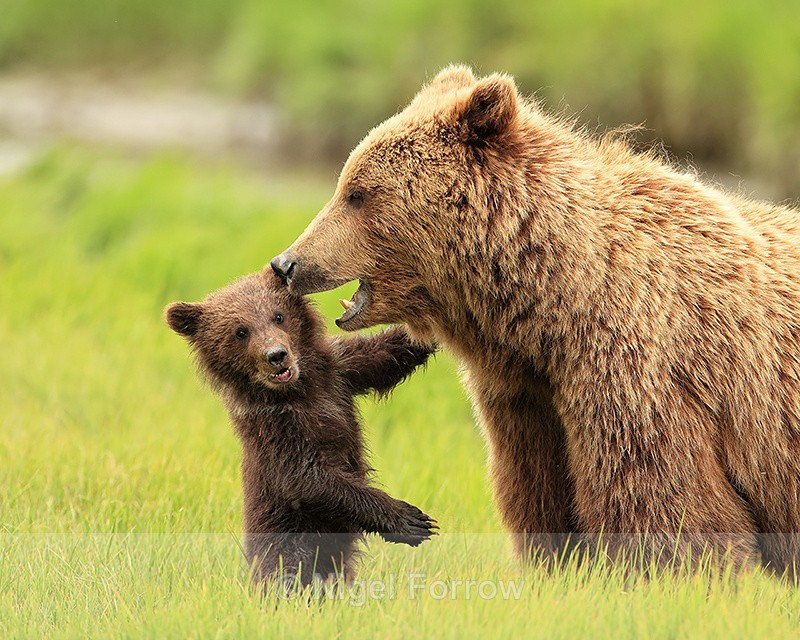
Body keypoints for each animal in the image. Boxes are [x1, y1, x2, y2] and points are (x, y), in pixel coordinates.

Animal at [165, 271, 437, 587]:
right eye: (240, 331)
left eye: (278, 315)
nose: (276, 355)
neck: (299, 391)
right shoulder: (275, 427)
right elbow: (306, 478)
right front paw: (412, 520)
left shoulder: (340, 372)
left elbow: (386, 353)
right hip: (287, 533)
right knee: (290, 572)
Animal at [270, 65, 800, 576]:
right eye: (346, 184)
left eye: (358, 193)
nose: (286, 263)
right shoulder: (527, 398)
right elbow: (538, 493)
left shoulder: (637, 368)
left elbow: (665, 498)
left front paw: (672, 573)